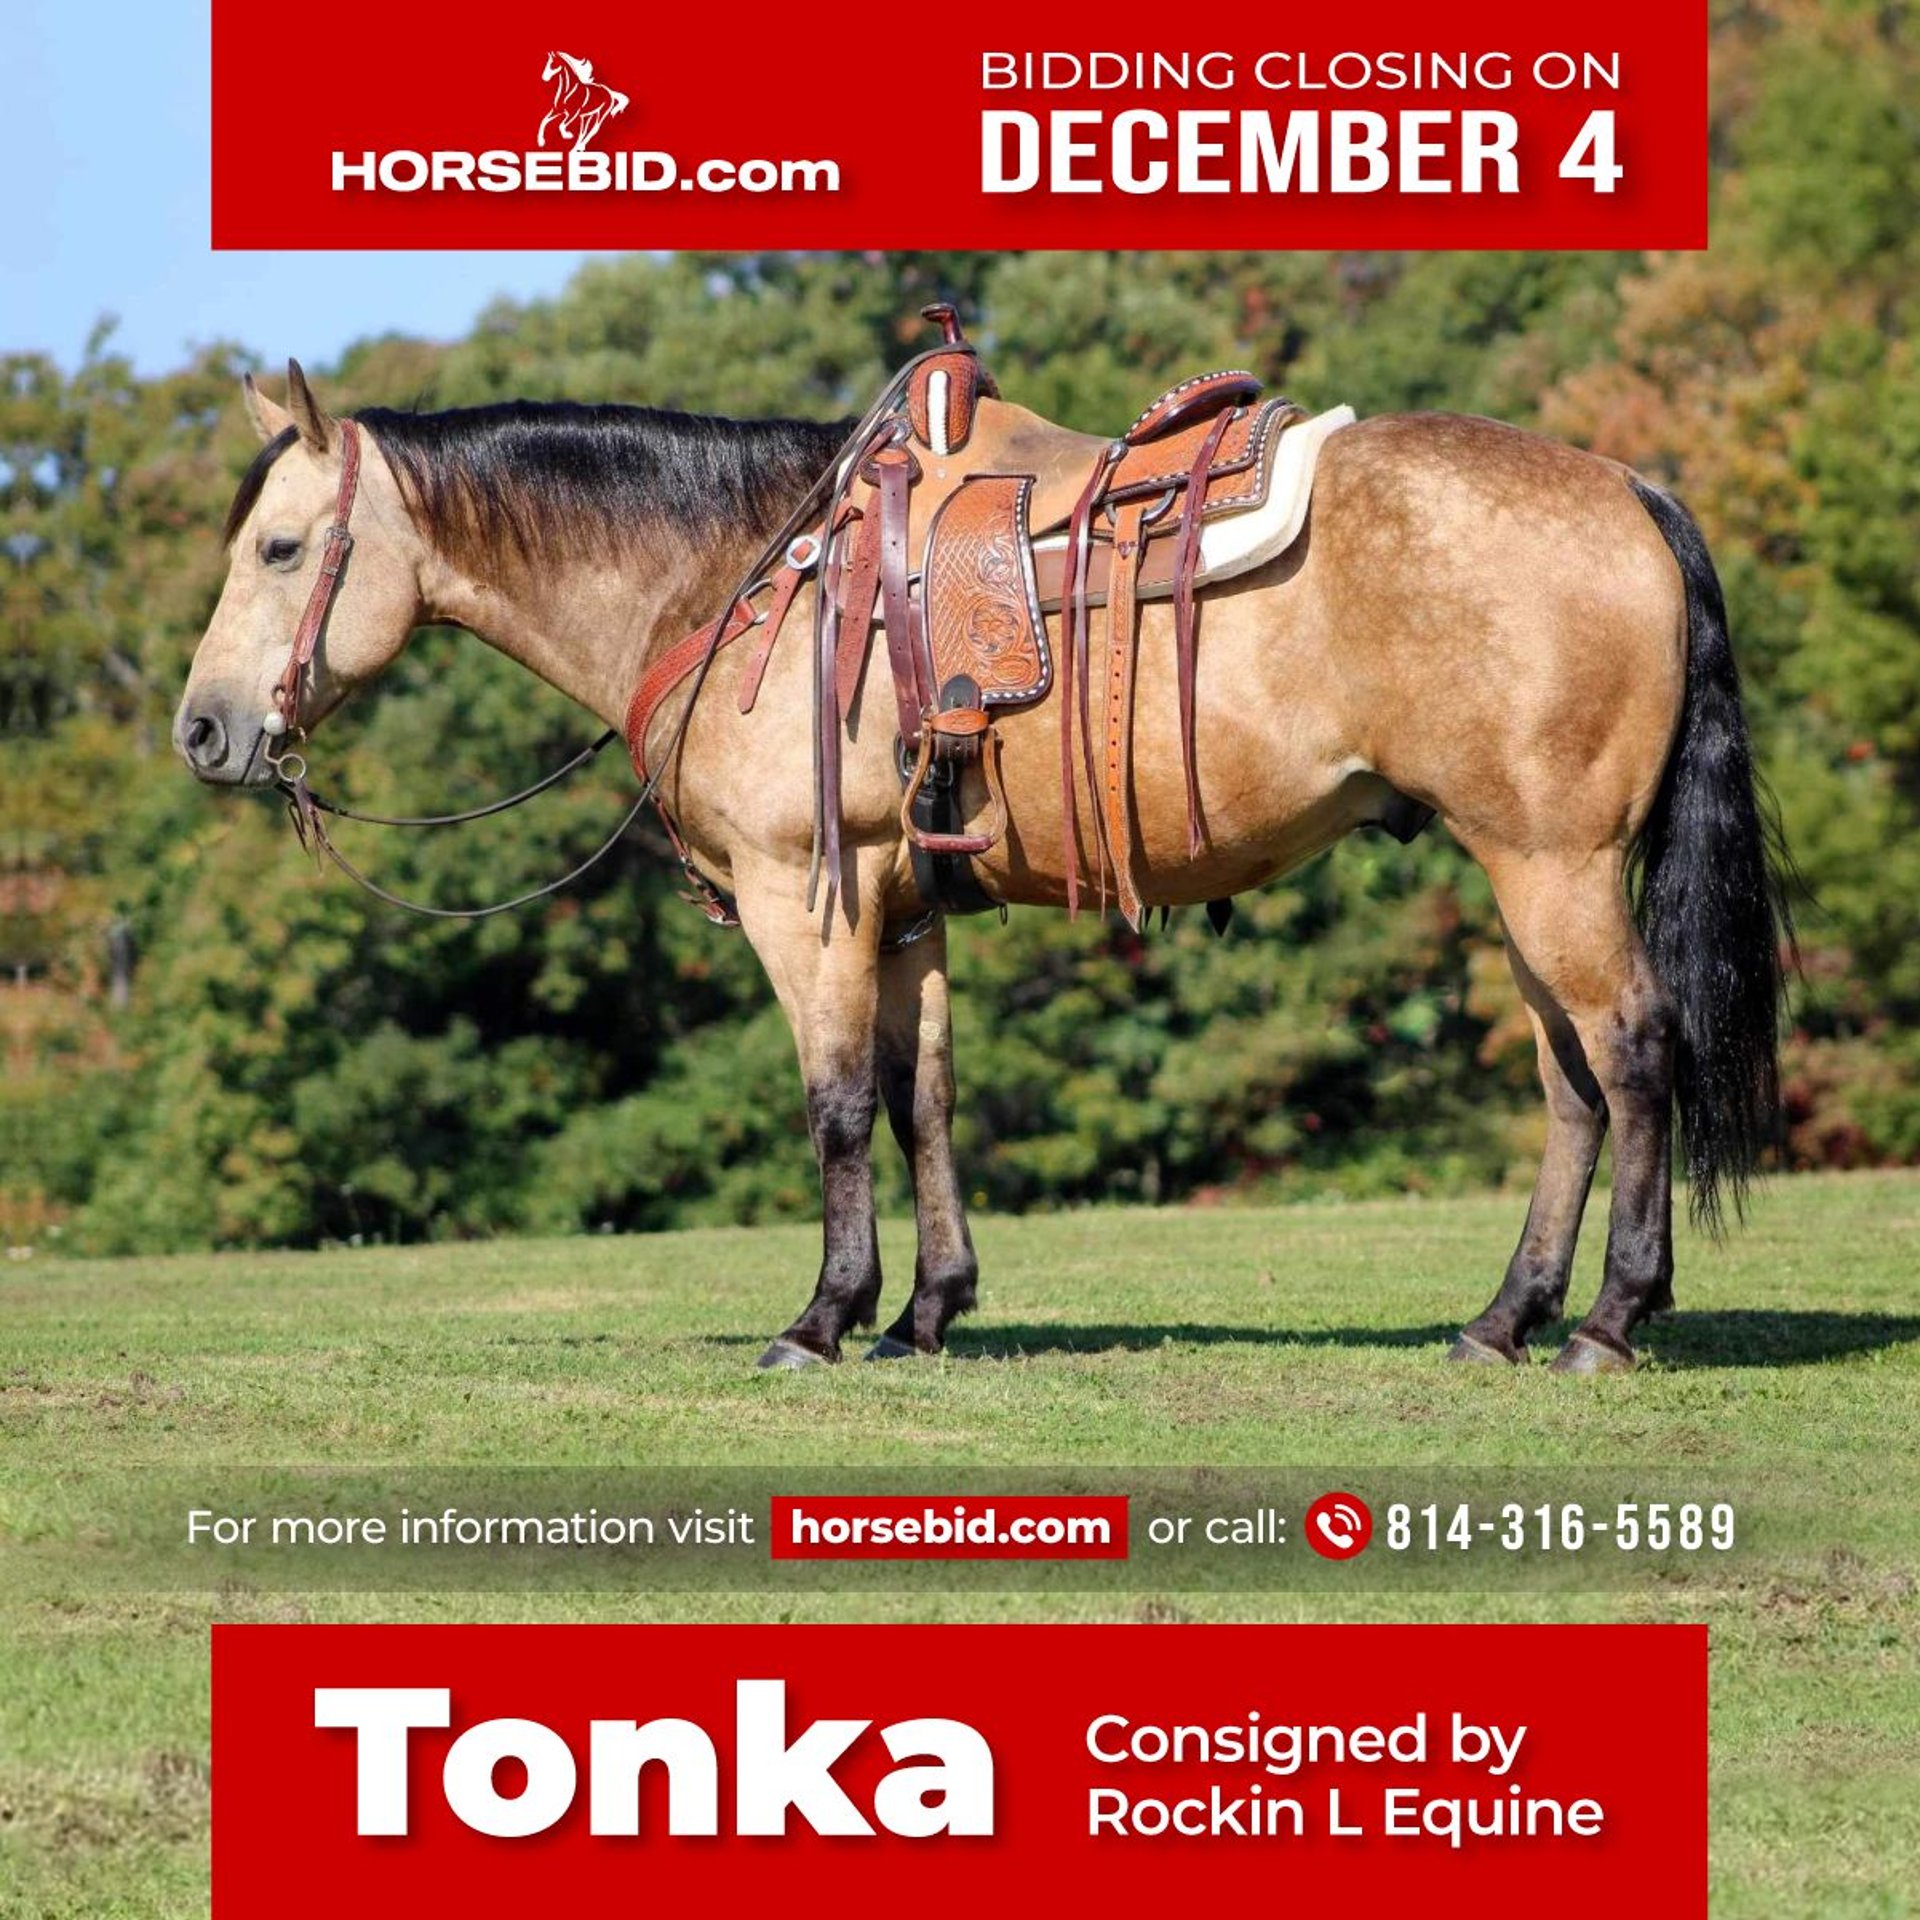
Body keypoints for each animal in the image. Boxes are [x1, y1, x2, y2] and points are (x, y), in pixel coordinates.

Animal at [175, 356, 1791, 1377]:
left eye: (278, 549)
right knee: (1570, 1084)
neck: (744, 582)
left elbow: (836, 1109)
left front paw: (824, 1319)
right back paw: (1505, 1319)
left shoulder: (805, 901)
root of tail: (1629, 488)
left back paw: (1608, 1322)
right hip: (1521, 871)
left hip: (1553, 866)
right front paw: (927, 1312)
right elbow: (922, 1100)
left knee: (1634, 1053)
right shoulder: (902, 912)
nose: (202, 730)